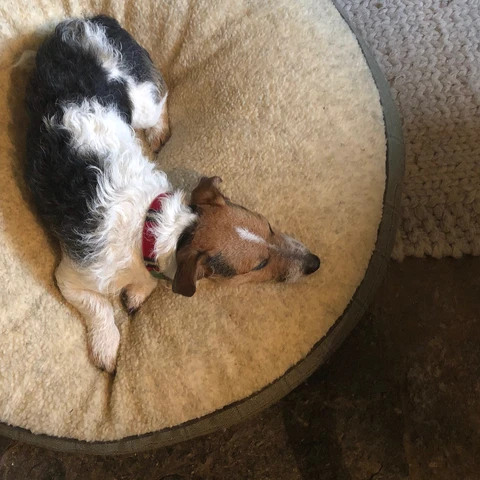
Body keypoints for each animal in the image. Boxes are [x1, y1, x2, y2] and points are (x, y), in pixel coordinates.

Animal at [25, 15, 318, 374]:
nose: (315, 263)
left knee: (161, 102)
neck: (154, 227)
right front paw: (106, 345)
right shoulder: (71, 278)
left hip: (140, 103)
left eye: (270, 227)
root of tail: (85, 23)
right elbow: (100, 308)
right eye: (258, 265)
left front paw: (138, 292)